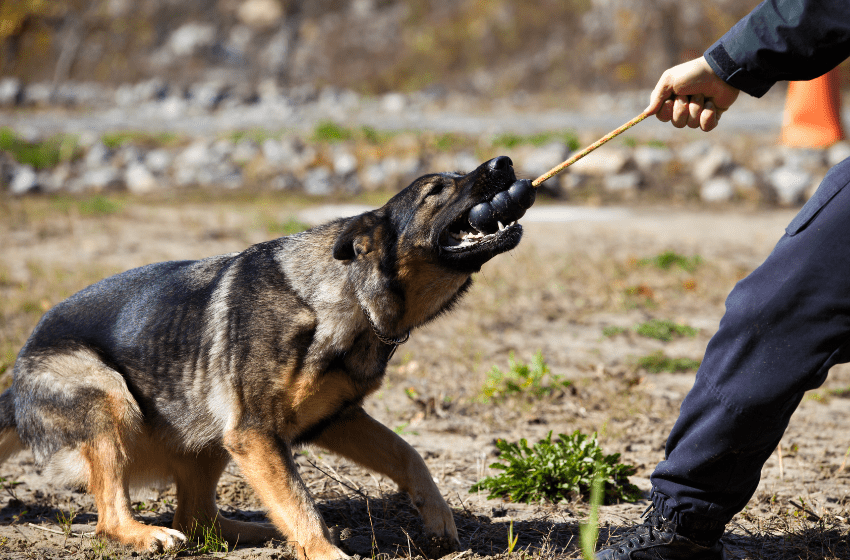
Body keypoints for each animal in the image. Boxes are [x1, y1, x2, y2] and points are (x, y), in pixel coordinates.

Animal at [0, 155, 528, 556]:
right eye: (436, 190)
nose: (504, 163)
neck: (343, 294)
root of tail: (18, 375)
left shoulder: (334, 419)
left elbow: (408, 453)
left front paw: (437, 517)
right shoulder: (255, 433)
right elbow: (300, 502)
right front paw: (325, 552)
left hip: (209, 429)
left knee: (197, 518)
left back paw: (259, 533)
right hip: (113, 399)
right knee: (114, 517)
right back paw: (145, 534)